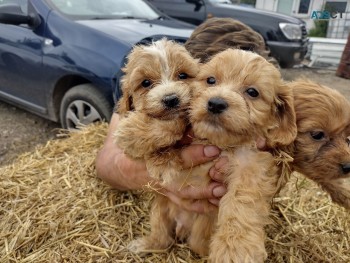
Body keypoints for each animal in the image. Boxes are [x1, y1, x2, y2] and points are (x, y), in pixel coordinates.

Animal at [113, 38, 198, 252]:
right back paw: (144, 245)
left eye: (182, 75)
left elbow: (174, 124)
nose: (171, 99)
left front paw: (130, 132)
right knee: (163, 239)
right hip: (160, 208)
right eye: (146, 83)